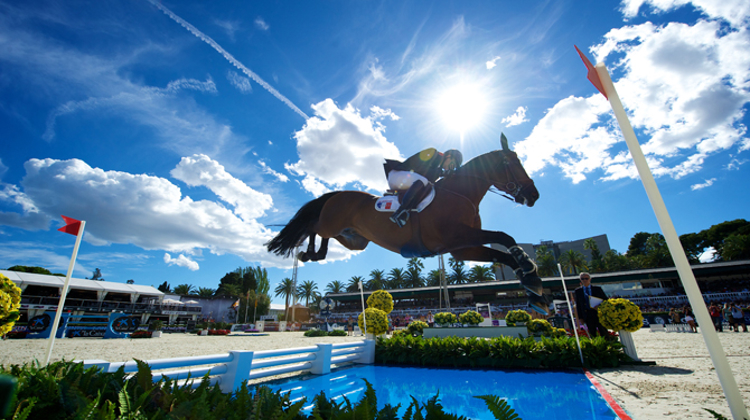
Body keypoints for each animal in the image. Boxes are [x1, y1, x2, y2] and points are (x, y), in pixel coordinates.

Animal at [268, 133, 548, 314]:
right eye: (512, 163)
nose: (534, 195)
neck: (461, 192)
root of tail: (337, 194)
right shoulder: (458, 237)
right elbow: (503, 236)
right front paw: (529, 269)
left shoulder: (463, 248)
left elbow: (504, 253)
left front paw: (533, 287)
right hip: (332, 223)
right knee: (312, 227)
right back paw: (307, 253)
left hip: (354, 240)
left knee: (325, 235)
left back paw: (317, 254)